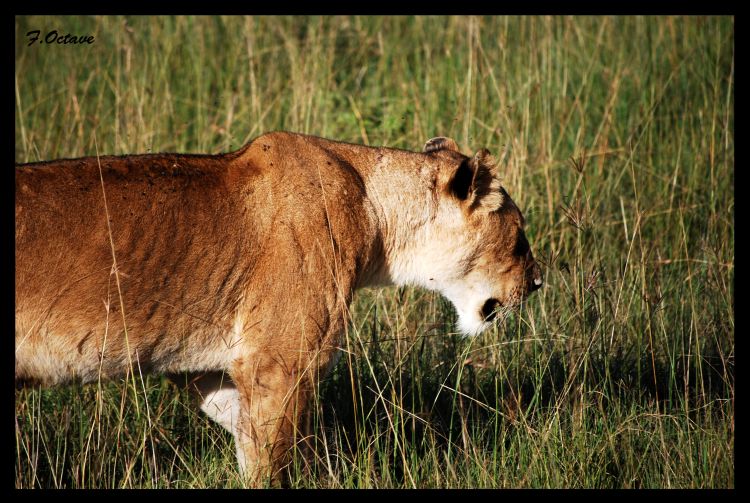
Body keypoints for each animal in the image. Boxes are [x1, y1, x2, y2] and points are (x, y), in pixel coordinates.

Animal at [14, 132, 544, 486]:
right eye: (519, 238)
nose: (538, 283)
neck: (374, 211)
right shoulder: (279, 363)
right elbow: (273, 466)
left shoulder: (217, 371)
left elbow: (269, 451)